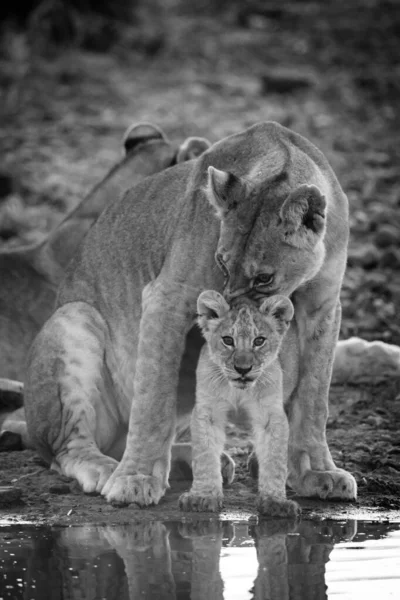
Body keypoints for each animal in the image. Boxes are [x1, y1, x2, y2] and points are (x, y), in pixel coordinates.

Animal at [23, 122, 358, 510]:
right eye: (222, 264)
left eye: (264, 278)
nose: (232, 323)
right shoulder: (166, 297)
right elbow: (153, 400)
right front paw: (135, 479)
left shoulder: (323, 306)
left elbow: (315, 398)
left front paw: (318, 473)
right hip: (74, 317)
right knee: (67, 448)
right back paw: (107, 469)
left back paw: (198, 461)